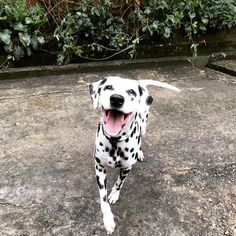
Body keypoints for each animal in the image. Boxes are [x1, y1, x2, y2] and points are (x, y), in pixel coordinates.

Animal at [88, 76, 179, 234]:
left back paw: (140, 153)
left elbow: (119, 183)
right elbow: (103, 198)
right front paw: (108, 220)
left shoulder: (126, 168)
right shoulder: (99, 168)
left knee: (141, 137)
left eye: (131, 91)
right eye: (108, 87)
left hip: (143, 126)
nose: (117, 99)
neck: (115, 142)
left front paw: (114, 194)